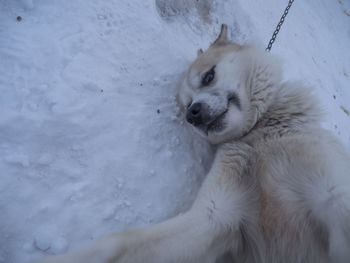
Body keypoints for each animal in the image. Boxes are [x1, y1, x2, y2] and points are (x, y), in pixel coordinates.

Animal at [35, 24, 350, 263]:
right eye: (186, 104)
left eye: (209, 76)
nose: (192, 114)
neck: (254, 135)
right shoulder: (215, 217)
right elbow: (117, 243)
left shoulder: (334, 196)